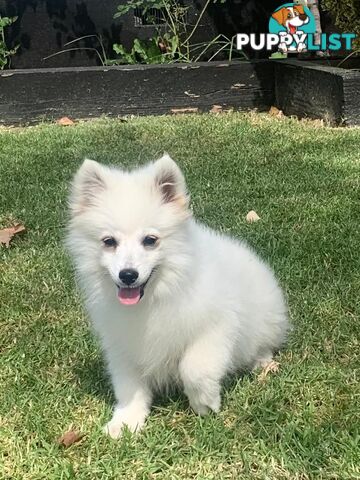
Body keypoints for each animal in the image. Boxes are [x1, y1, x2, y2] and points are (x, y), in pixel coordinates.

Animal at [67, 155, 286, 438]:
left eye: (150, 240)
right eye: (109, 242)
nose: (128, 275)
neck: (157, 296)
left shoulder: (216, 327)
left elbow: (194, 368)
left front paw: (205, 403)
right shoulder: (123, 345)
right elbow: (129, 386)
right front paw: (126, 421)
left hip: (264, 318)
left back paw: (262, 362)